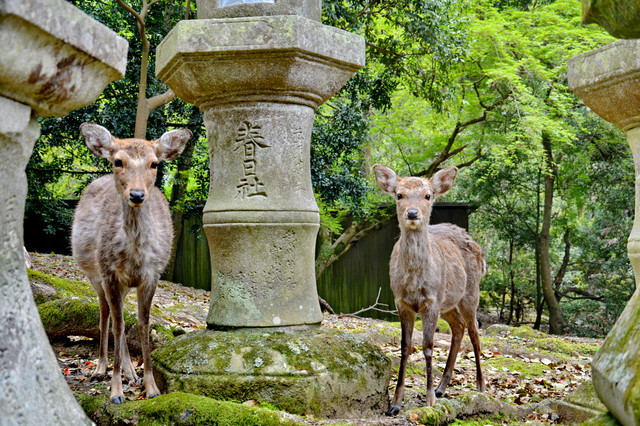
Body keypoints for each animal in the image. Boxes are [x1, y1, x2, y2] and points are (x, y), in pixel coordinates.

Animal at [71, 123, 192, 404]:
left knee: (121, 318)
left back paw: (131, 373)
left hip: (123, 285)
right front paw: (116, 391)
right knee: (106, 315)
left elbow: (142, 324)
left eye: (154, 163)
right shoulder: (109, 273)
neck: (135, 257)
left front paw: (151, 386)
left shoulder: (152, 275)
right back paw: (101, 368)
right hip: (94, 274)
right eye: (118, 161)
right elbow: (117, 324)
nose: (137, 194)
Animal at [373, 164, 485, 416]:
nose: (413, 213)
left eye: (428, 195)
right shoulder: (401, 302)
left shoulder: (432, 301)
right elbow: (405, 347)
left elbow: (428, 347)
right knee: (459, 326)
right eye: (399, 195)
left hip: (470, 293)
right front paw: (395, 403)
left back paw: (480, 386)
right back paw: (442, 387)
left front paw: (429, 401)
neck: (415, 282)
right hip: (448, 302)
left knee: (474, 331)